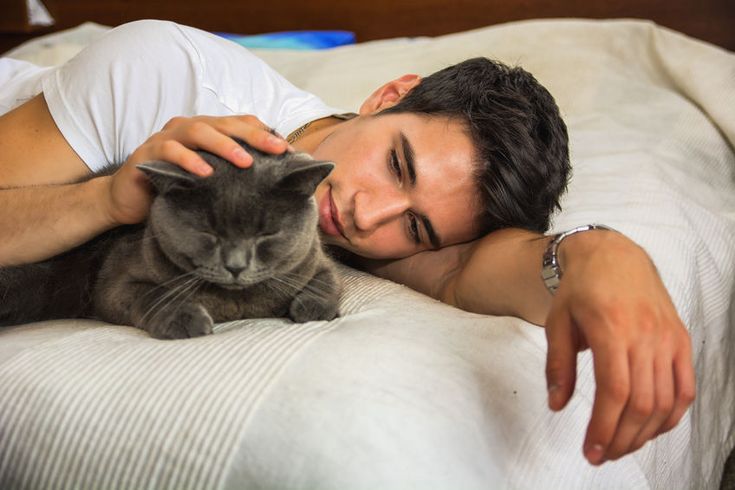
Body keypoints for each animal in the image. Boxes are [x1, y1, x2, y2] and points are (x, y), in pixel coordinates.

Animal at [0, 142, 344, 338]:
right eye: (207, 232)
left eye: (267, 233)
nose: (235, 266)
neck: (236, 305)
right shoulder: (113, 284)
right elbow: (152, 295)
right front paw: (185, 319)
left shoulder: (315, 258)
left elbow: (329, 281)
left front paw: (312, 308)